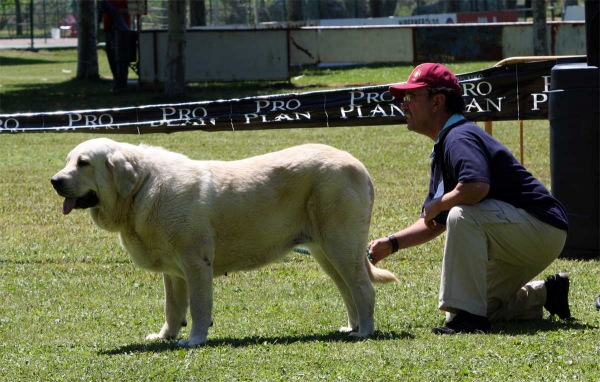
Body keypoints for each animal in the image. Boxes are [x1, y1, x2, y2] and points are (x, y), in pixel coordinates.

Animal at [51, 139, 398, 348]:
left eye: (83, 163)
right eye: (67, 161)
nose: (55, 180)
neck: (142, 188)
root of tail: (359, 166)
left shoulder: (195, 263)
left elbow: (199, 306)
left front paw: (194, 339)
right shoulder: (174, 273)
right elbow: (172, 307)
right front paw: (166, 335)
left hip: (341, 245)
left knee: (363, 288)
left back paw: (365, 332)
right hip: (325, 252)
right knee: (348, 291)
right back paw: (352, 329)